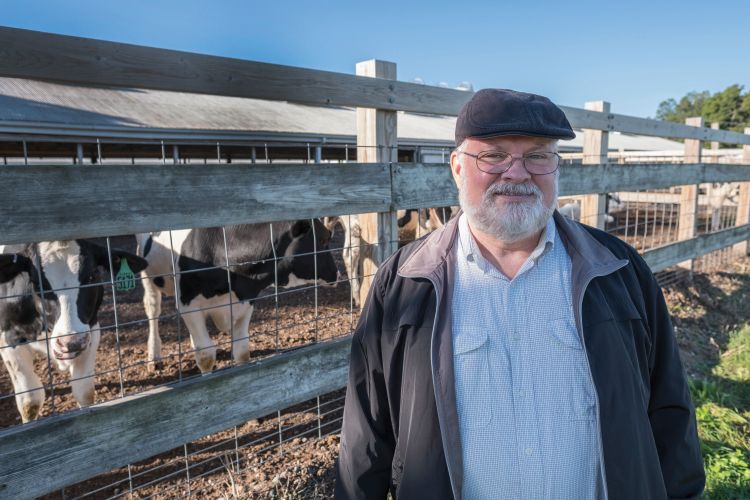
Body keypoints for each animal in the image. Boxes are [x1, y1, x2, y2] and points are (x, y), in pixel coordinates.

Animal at [0, 240, 148, 420]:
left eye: (92, 276)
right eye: (36, 283)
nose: (70, 342)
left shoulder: (91, 331)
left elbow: (84, 391)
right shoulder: (9, 341)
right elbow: (30, 402)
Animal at [137, 220, 340, 376]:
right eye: (323, 240)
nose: (337, 274)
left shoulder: (246, 300)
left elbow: (241, 350)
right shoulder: (188, 304)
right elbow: (206, 356)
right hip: (147, 274)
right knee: (153, 308)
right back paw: (154, 357)